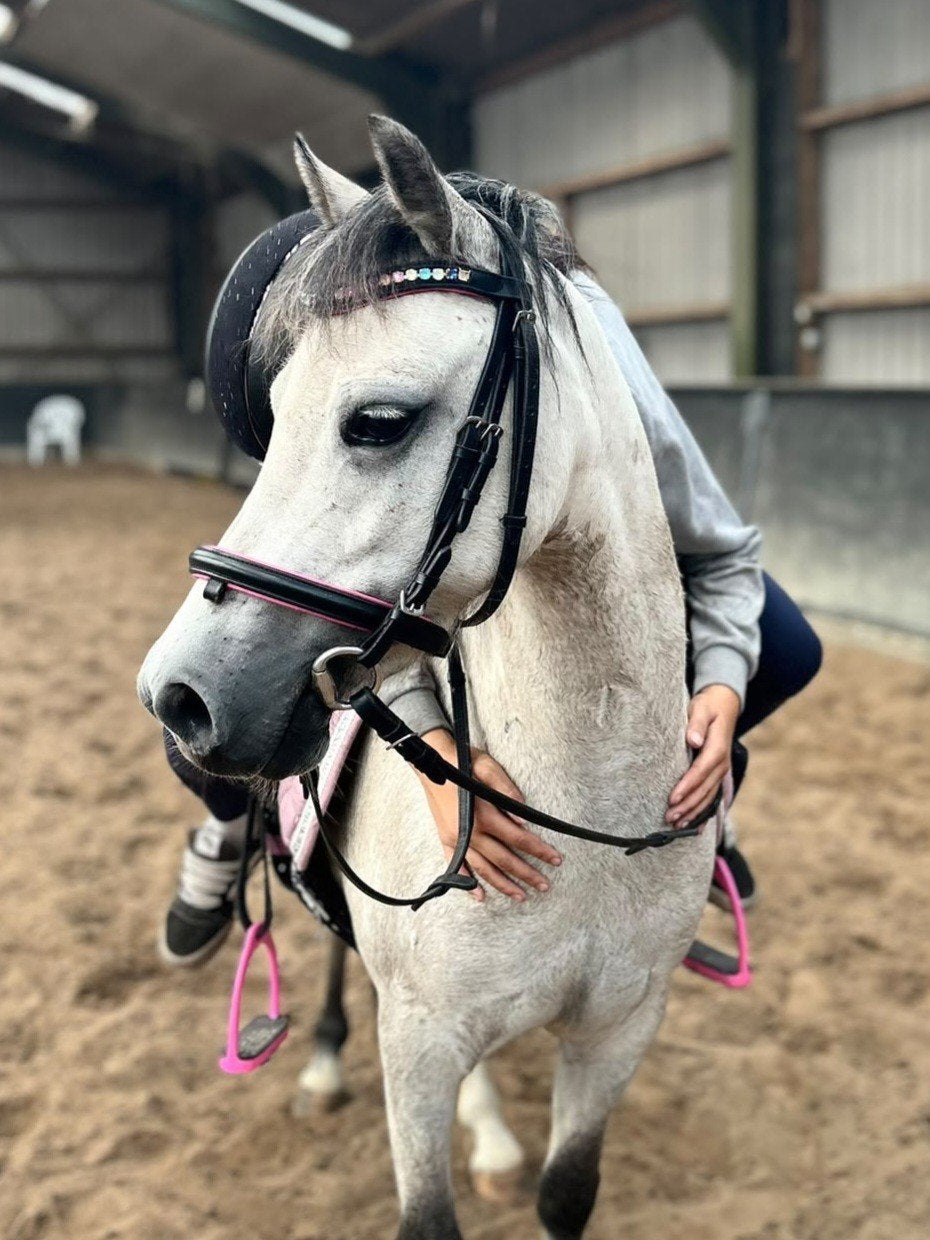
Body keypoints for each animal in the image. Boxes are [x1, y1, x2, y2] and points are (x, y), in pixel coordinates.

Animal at [138, 115, 716, 1239]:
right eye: (274, 413)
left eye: (378, 420)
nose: (177, 696)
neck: (588, 812)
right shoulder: (417, 1046)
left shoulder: (616, 1032)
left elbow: (566, 1193)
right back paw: (319, 1058)